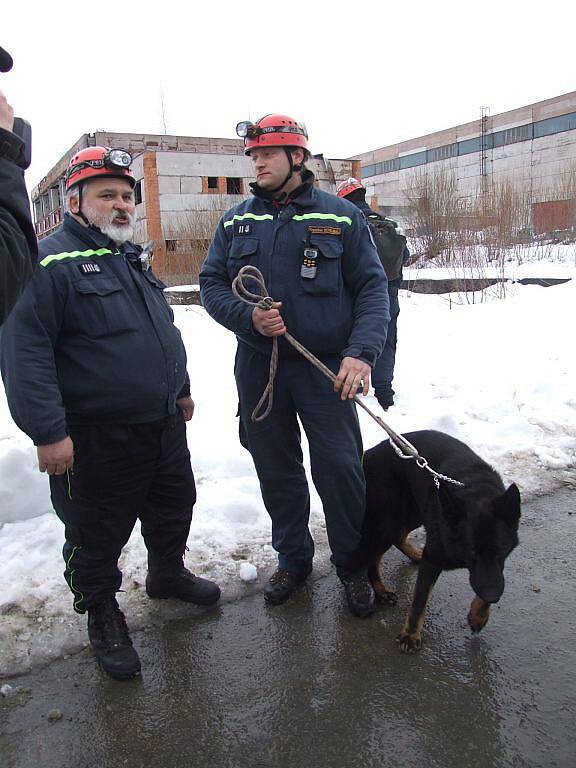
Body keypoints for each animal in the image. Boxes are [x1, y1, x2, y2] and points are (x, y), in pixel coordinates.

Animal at [362, 428, 520, 652]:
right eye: (472, 552)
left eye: (501, 550)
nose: (493, 596)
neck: (476, 492)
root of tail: (368, 453)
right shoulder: (434, 560)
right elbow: (419, 602)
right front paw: (410, 635)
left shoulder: (496, 566)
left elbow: (494, 576)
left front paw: (479, 615)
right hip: (389, 521)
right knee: (374, 557)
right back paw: (381, 590)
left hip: (415, 512)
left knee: (399, 537)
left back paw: (414, 555)